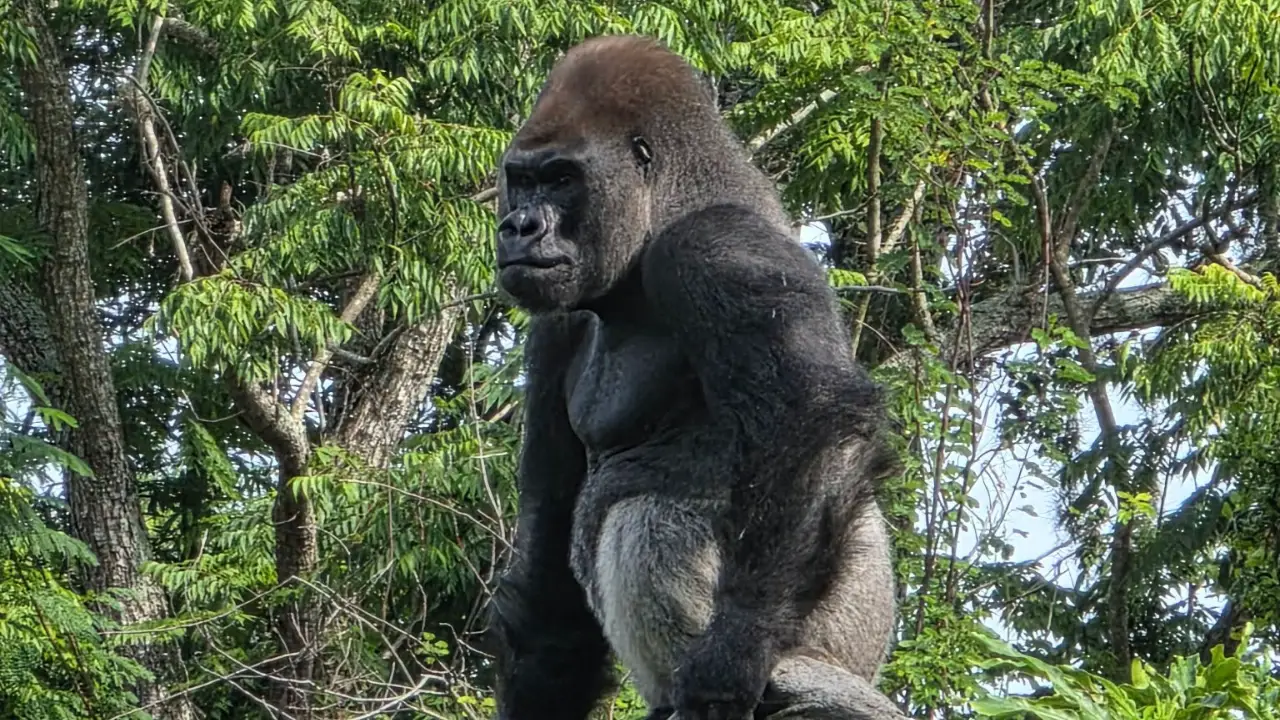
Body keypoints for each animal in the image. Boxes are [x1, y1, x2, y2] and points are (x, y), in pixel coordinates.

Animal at [486, 35, 906, 720]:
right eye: (521, 182)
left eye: (562, 178)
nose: (519, 227)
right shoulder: (556, 328)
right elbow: (548, 565)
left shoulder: (717, 249)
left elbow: (810, 420)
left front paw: (737, 648)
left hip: (846, 634)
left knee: (648, 514)